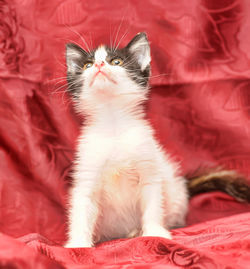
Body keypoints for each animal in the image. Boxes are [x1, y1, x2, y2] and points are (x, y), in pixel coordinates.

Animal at [64, 32, 250, 246]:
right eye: (87, 65)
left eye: (116, 62)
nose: (99, 65)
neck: (114, 125)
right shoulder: (87, 173)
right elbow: (81, 208)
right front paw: (78, 243)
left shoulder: (149, 170)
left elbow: (152, 204)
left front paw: (154, 232)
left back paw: (139, 231)